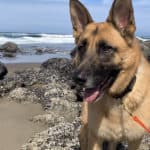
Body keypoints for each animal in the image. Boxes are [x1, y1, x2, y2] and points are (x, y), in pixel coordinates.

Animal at [69, 0, 150, 149]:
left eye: (106, 48)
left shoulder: (135, 140)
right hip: (86, 131)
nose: (76, 79)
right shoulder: (95, 138)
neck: (118, 99)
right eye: (81, 47)